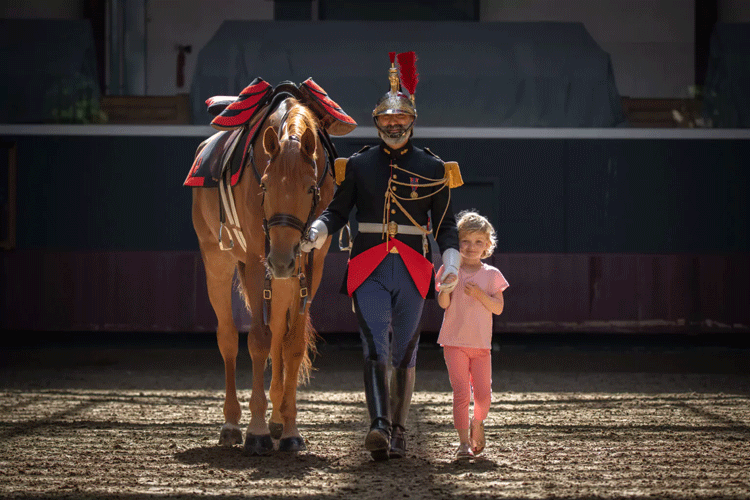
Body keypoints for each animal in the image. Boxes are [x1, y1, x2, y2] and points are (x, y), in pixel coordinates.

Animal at [192, 92, 336, 456]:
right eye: (265, 186)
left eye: (311, 187)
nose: (282, 258)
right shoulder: (258, 263)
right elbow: (257, 341)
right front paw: (255, 431)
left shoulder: (311, 266)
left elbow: (292, 345)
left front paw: (290, 430)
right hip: (217, 260)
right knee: (228, 337)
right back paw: (231, 424)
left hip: (283, 278)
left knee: (278, 338)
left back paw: (277, 420)